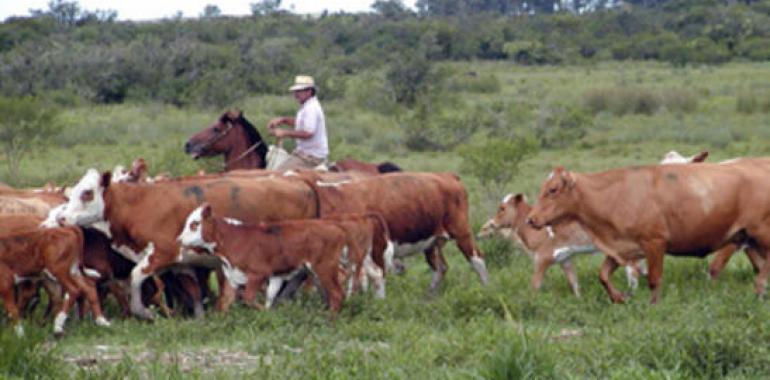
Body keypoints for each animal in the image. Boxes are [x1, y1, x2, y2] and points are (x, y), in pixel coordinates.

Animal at [55, 168, 316, 320]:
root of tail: (299, 180)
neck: (140, 204)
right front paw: (200, 319)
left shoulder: (161, 254)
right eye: (73, 191)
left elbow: (136, 277)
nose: (62, 218)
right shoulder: (182, 264)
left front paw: (145, 313)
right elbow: (193, 292)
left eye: (87, 193)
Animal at [177, 203, 348, 320]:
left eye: (194, 224)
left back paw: (330, 318)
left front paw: (266, 314)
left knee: (337, 292)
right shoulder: (234, 277)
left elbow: (249, 298)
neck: (233, 238)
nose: (179, 240)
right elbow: (225, 302)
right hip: (317, 269)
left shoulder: (258, 274)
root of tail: (334, 227)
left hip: (324, 266)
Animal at [528, 162, 770, 304]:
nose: (531, 219)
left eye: (552, 190)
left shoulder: (654, 243)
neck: (616, 195)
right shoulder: (624, 248)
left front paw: (654, 306)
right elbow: (603, 274)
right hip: (748, 238)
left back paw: (759, 288)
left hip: (761, 234)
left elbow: (654, 279)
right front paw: (618, 297)